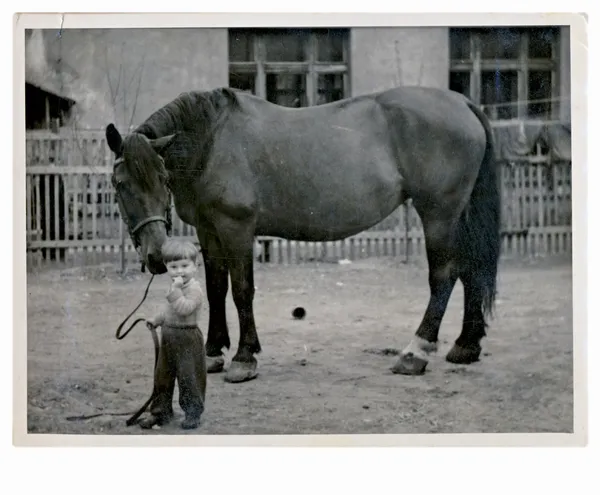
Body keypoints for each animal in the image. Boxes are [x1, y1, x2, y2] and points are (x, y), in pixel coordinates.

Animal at [104, 85, 502, 384]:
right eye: (120, 184)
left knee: (444, 276)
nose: (155, 256)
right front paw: (214, 353)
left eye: (162, 177)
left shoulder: (236, 228)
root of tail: (462, 102)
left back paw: (415, 353)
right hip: (458, 215)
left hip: (438, 214)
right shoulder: (209, 230)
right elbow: (215, 289)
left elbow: (242, 291)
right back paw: (466, 347)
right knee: (471, 270)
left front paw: (244, 358)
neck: (212, 141)